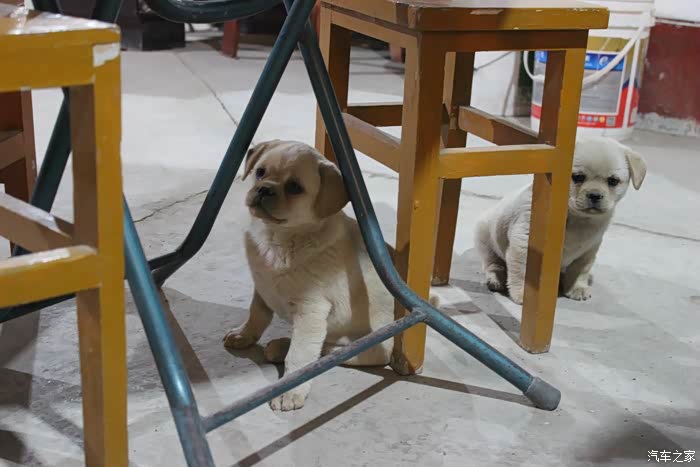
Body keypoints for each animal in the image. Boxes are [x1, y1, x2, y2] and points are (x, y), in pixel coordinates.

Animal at [224, 140, 433, 411]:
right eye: (260, 172)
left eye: (294, 187)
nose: (263, 189)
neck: (279, 237)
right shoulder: (262, 286)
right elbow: (257, 315)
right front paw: (243, 335)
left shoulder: (311, 310)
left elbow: (300, 355)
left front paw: (290, 391)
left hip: (364, 345)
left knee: (326, 352)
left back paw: (284, 348)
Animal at [475, 136, 647, 304]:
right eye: (578, 177)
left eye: (613, 181)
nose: (595, 195)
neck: (578, 218)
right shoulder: (524, 242)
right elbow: (523, 271)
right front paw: (525, 294)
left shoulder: (589, 249)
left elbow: (580, 269)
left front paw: (577, 287)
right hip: (485, 237)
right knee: (493, 263)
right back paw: (496, 279)